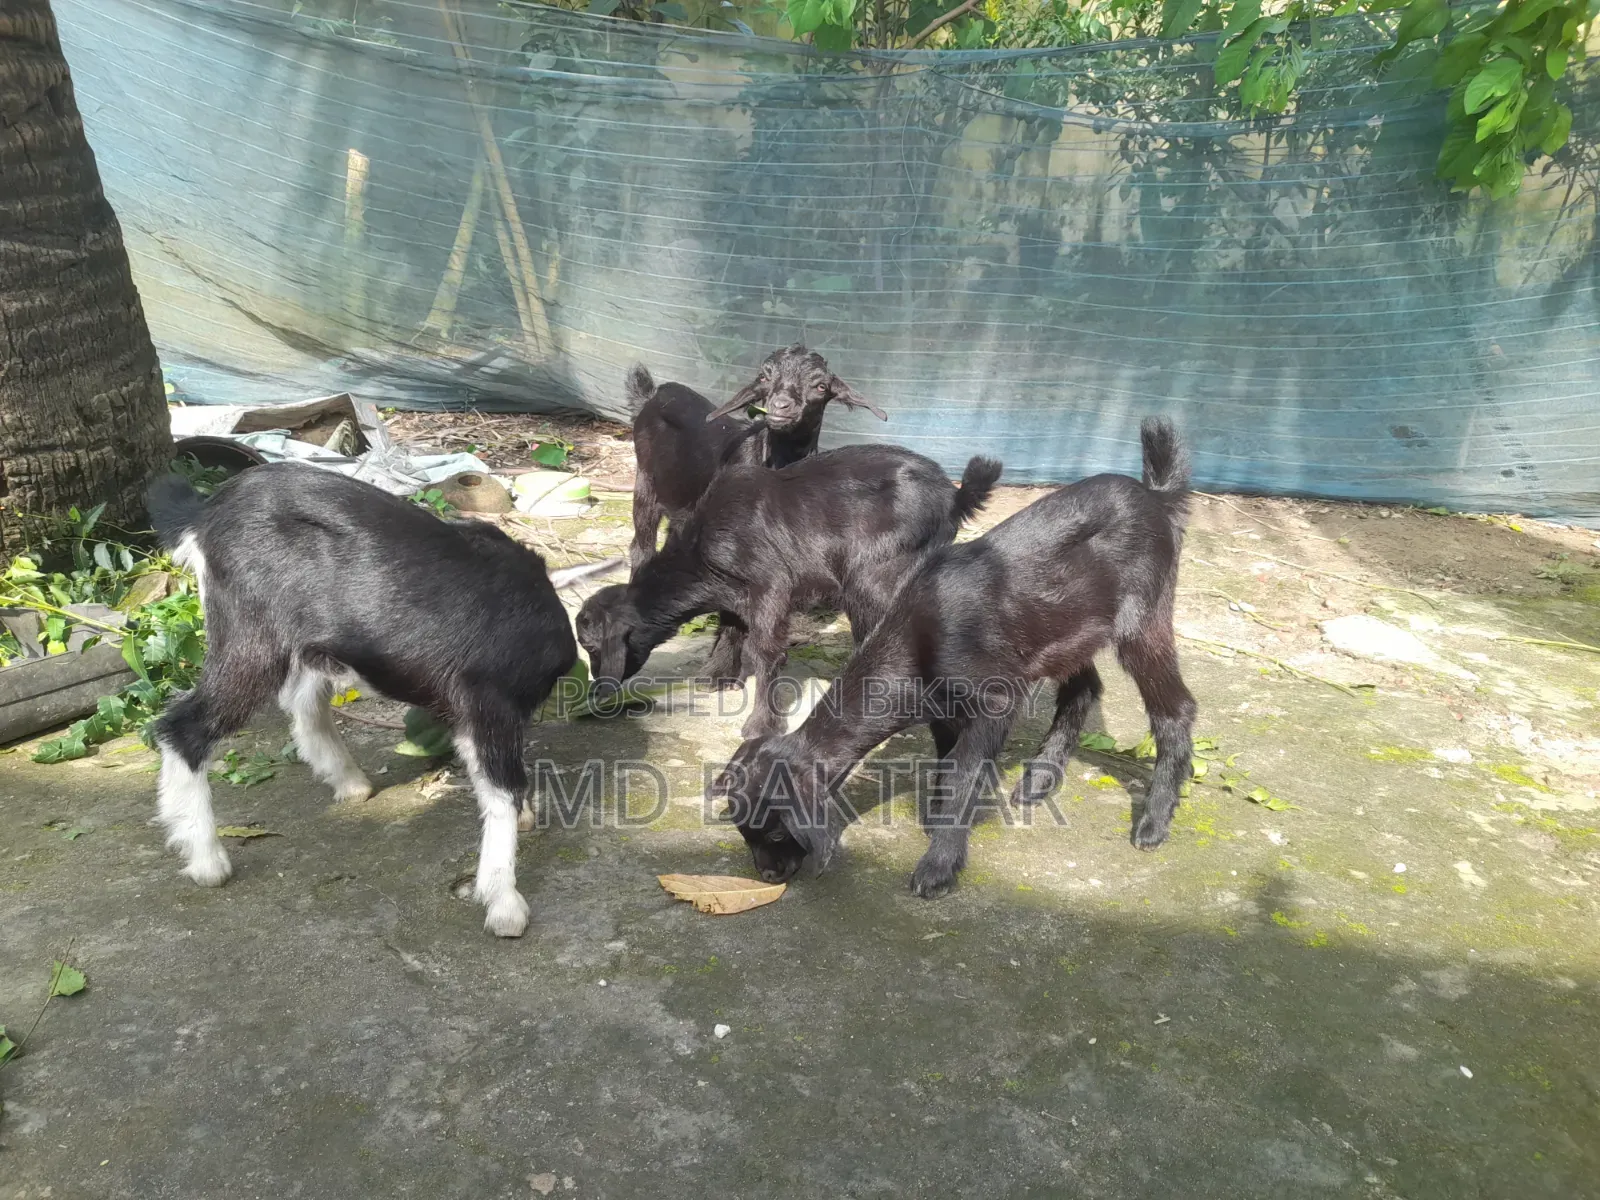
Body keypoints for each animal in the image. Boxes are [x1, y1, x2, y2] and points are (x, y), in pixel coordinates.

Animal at [145, 464, 621, 938]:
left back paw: (350, 782)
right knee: (182, 728)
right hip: (251, 638)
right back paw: (206, 860)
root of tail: (204, 514)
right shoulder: (487, 699)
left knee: (302, 703)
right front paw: (504, 903)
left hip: (307, 641)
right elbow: (502, 786)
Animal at [577, 446, 1002, 741]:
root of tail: (954, 497)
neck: (700, 547)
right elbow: (731, 625)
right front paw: (718, 675)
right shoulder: (737, 591)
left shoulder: (771, 583)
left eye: (593, 647)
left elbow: (764, 650)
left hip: (873, 575)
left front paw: (760, 724)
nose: (596, 689)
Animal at [710, 418, 1196, 899]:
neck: (916, 643)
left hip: (1142, 618)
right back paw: (1039, 779)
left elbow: (965, 775)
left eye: (776, 832)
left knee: (1175, 708)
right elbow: (946, 762)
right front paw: (935, 818)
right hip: (1067, 629)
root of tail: (1157, 496)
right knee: (1084, 687)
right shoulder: (943, 711)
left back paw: (1154, 822)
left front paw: (939, 865)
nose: (767, 875)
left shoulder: (996, 702)